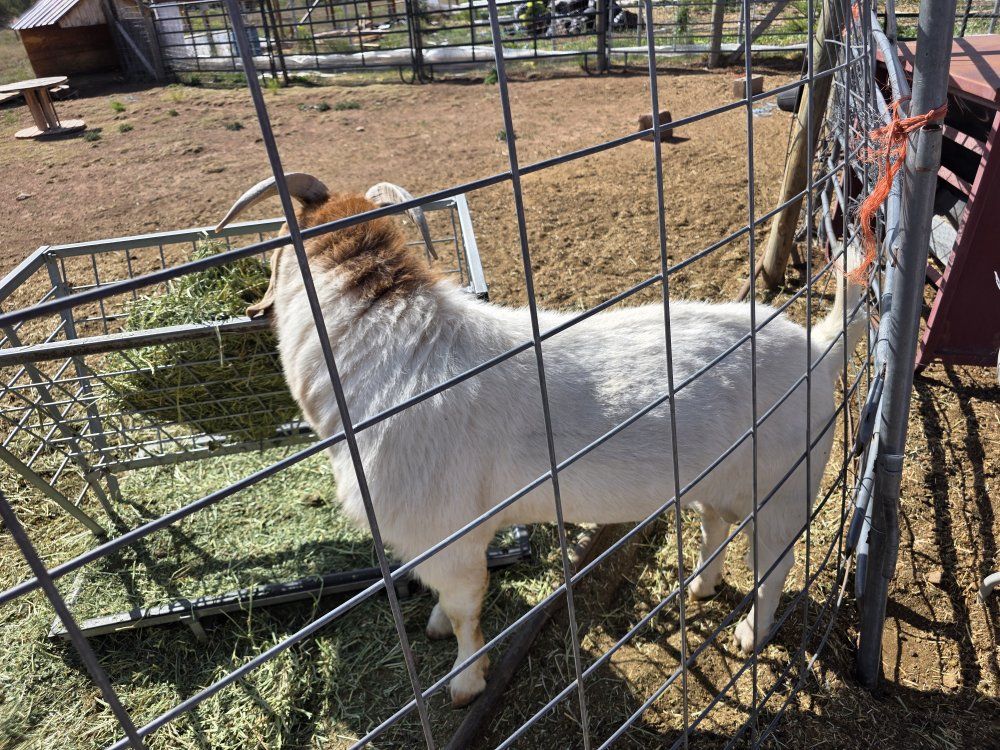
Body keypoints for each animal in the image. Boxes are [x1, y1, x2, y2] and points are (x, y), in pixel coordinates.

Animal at [216, 173, 867, 707]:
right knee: (715, 526)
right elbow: (449, 606)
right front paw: (434, 625)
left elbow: (466, 611)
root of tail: (818, 349)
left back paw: (749, 635)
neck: (393, 352)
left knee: (775, 562)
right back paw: (700, 588)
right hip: (720, 479)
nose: (253, 309)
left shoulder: (446, 536)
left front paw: (465, 683)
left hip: (784, 484)